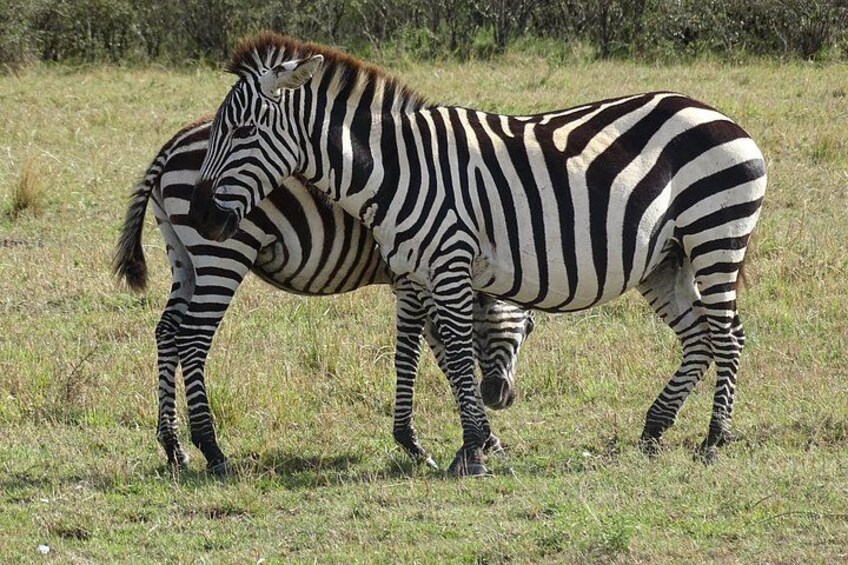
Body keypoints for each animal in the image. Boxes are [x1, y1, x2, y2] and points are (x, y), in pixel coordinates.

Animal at [113, 115, 534, 475]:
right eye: (528, 328)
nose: (501, 396)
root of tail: (175, 141)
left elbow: (436, 351)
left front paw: (471, 437)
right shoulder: (414, 277)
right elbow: (431, 353)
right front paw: (466, 440)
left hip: (182, 253)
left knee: (167, 331)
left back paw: (174, 447)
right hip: (222, 251)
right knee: (193, 337)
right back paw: (212, 450)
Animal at [190, 32, 767, 475]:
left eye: (242, 131)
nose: (199, 217)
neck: (397, 172)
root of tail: (717, 114)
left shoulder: (449, 262)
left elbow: (458, 352)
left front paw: (471, 452)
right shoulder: (415, 273)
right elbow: (423, 354)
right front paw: (453, 444)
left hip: (715, 234)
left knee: (728, 335)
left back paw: (713, 441)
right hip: (666, 258)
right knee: (699, 337)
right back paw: (653, 431)